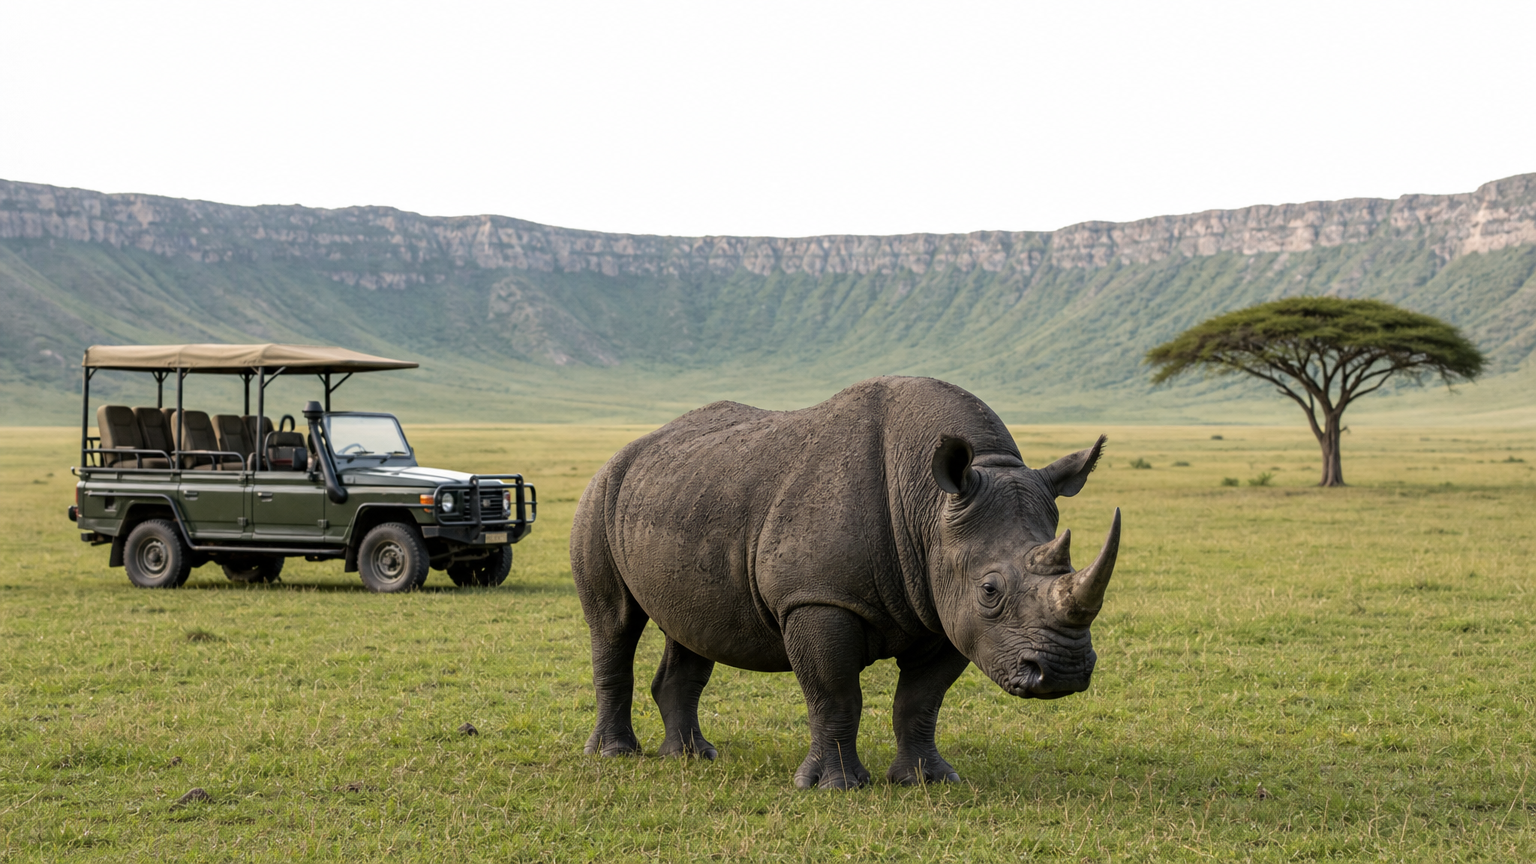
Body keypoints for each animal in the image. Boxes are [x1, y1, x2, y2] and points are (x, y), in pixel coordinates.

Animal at [570, 376, 1120, 789]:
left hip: (680, 493)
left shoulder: (943, 607)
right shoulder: (818, 598)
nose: (1065, 673)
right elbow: (835, 694)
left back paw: (692, 756)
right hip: (600, 493)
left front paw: (928, 781)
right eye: (990, 590)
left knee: (690, 629)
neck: (930, 506)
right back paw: (615, 755)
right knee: (615, 623)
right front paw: (834, 787)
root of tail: (628, 449)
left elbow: (921, 701)